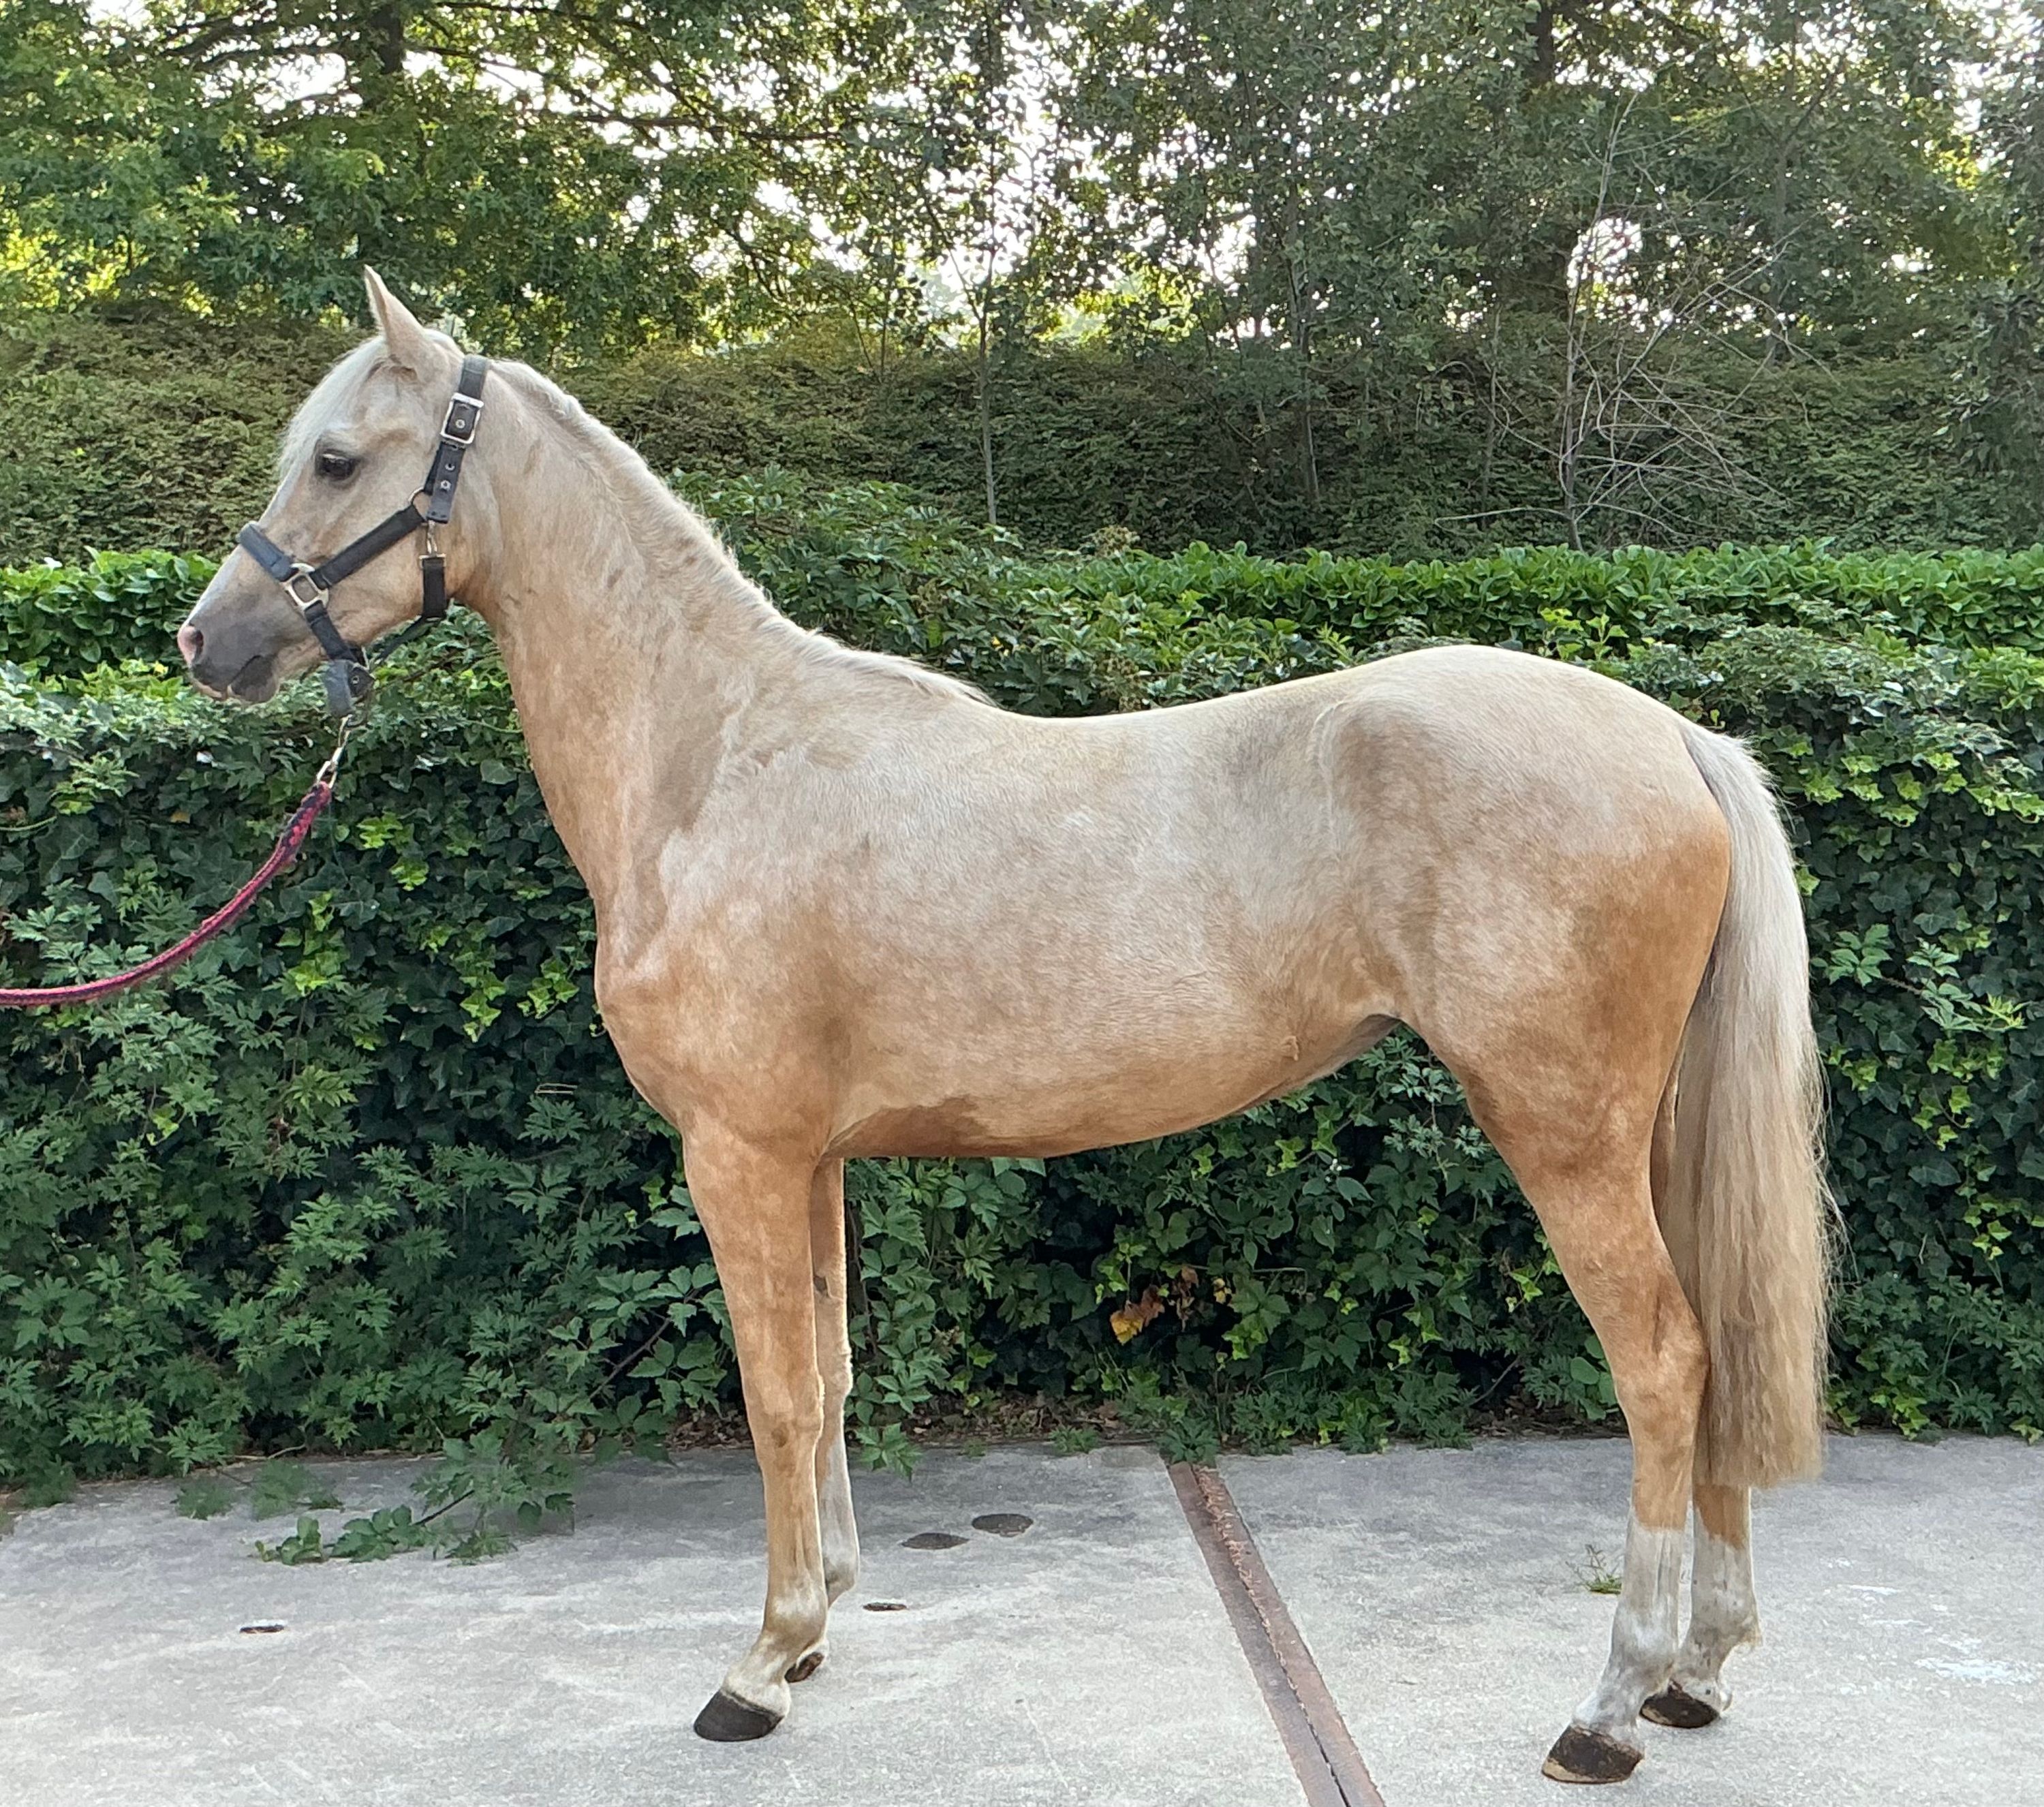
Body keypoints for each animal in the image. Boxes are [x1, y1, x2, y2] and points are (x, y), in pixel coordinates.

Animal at [177, 270, 1829, 1786]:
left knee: (1664, 1364)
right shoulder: (812, 1160)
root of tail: (1673, 737)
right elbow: (833, 1376)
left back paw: (1612, 1706)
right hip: (1649, 1132)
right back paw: (1700, 1673)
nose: (211, 642)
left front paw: (760, 1666)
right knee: (1719, 1352)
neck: (713, 760)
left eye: (340, 459)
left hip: (1562, 1131)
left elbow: (775, 1395)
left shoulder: (737, 1154)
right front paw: (820, 1625)